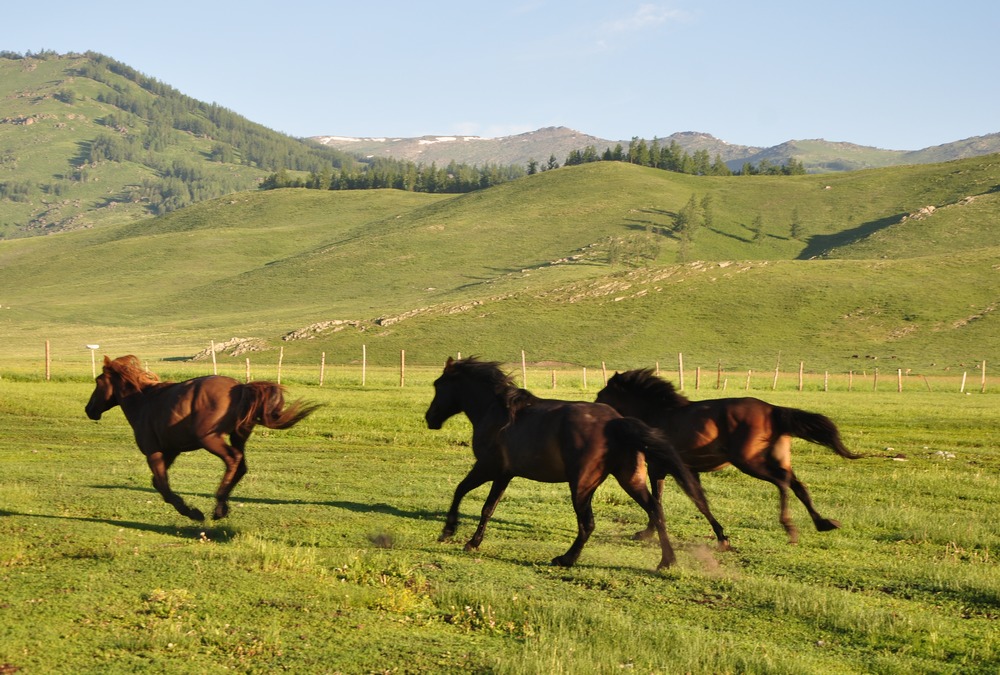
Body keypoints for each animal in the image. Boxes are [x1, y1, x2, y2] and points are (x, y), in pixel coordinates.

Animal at [88, 360, 320, 524]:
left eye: (98, 382)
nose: (89, 409)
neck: (144, 401)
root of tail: (241, 388)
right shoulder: (170, 451)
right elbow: (158, 482)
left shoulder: (153, 452)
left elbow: (162, 486)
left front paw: (191, 511)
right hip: (237, 436)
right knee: (242, 465)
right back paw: (223, 506)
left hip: (210, 439)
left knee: (233, 459)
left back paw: (218, 506)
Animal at [426, 356, 716, 568]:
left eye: (438, 385)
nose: (430, 418)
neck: (497, 412)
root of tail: (616, 422)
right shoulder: (504, 474)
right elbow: (488, 508)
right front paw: (473, 542)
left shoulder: (487, 467)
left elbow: (460, 490)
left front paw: (448, 531)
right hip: (629, 479)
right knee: (656, 510)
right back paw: (667, 561)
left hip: (582, 485)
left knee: (588, 524)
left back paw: (566, 559)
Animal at [592, 370, 860, 548]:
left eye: (601, 394)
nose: (593, 410)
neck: (657, 414)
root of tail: (773, 410)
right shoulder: (684, 469)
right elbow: (696, 500)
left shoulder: (659, 467)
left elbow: (668, 500)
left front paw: (721, 537)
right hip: (777, 459)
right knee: (797, 485)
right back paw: (824, 523)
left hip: (749, 462)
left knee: (783, 483)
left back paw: (790, 528)